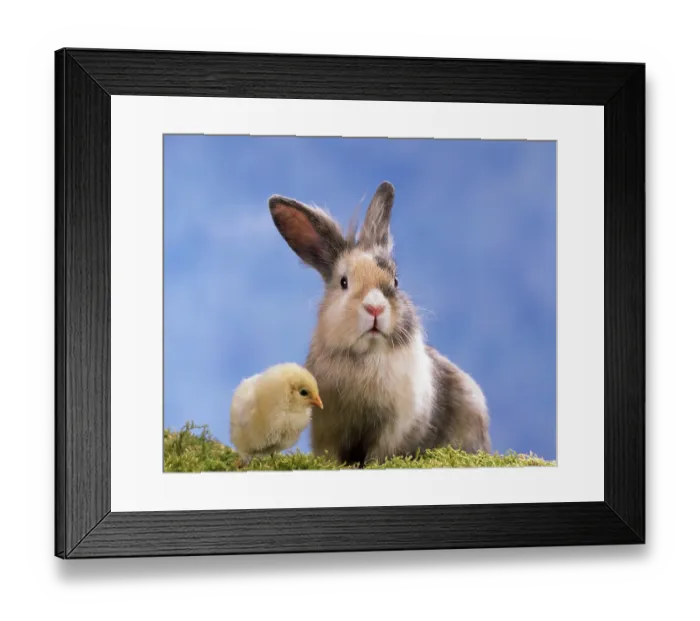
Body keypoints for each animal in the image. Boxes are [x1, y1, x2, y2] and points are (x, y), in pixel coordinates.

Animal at [268, 181, 491, 467]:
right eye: (343, 282)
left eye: (395, 281)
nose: (375, 308)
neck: (368, 356)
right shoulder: (328, 427)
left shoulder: (394, 429)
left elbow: (379, 456)